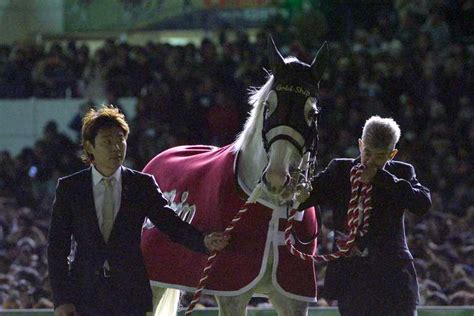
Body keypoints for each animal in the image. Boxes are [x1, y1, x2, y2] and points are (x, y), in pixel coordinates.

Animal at [140, 37, 326, 316]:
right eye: (268, 106)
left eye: (312, 114)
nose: (276, 178)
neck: (269, 205)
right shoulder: (232, 294)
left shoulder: (292, 297)